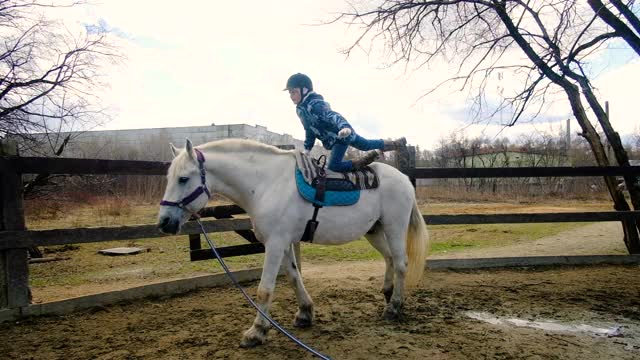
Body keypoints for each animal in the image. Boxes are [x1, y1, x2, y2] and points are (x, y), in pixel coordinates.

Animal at [157, 137, 428, 346]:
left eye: (183, 179)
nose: (164, 222)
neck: (266, 184)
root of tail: (404, 178)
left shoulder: (275, 244)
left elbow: (265, 289)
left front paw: (256, 331)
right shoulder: (283, 243)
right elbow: (294, 276)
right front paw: (305, 313)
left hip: (394, 227)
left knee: (401, 263)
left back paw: (393, 307)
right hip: (374, 231)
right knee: (390, 258)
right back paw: (387, 294)